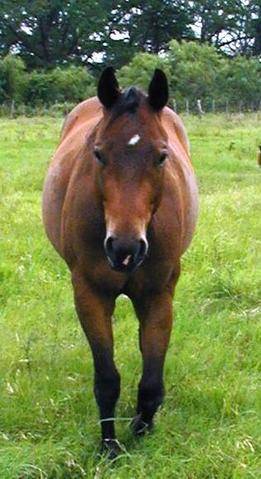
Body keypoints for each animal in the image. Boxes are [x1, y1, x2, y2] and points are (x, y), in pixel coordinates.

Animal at [42, 66, 197, 458]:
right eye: (98, 153)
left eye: (161, 156)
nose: (124, 248)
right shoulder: (90, 295)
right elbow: (107, 379)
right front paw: (110, 448)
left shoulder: (158, 296)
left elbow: (152, 378)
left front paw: (142, 432)